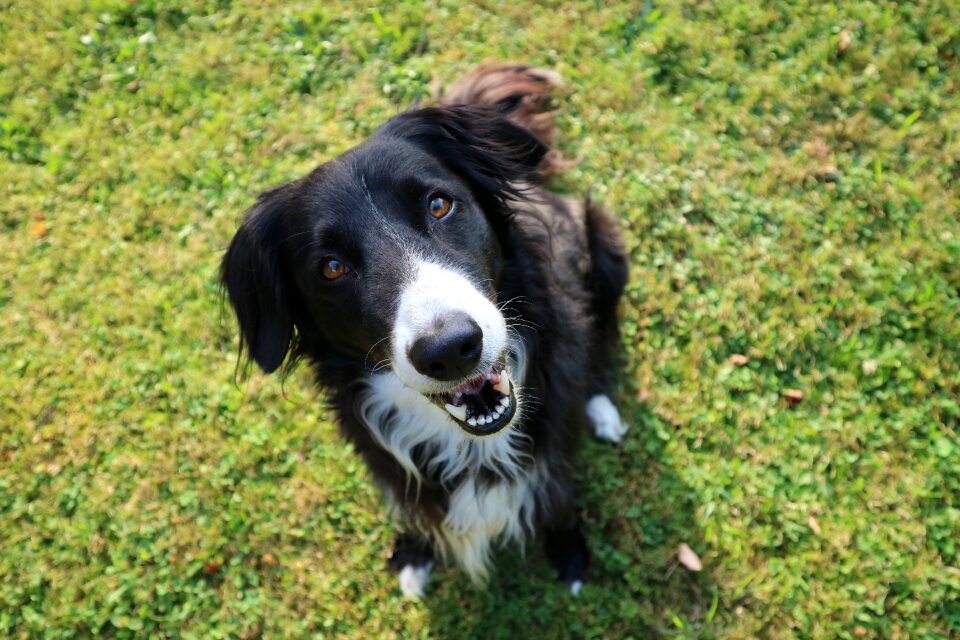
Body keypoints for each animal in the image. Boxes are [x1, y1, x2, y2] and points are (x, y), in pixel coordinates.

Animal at [219, 62, 632, 596]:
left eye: (439, 205)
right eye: (331, 268)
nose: (451, 349)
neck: (470, 442)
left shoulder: (553, 445)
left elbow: (557, 494)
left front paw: (569, 553)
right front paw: (414, 552)